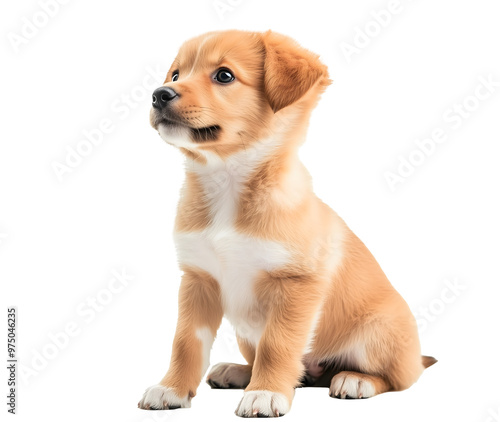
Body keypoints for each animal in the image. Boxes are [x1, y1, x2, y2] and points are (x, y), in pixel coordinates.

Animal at [139, 30, 436, 418]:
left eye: (224, 75)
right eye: (175, 75)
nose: (159, 94)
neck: (227, 181)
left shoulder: (295, 285)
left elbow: (276, 345)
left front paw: (265, 393)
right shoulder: (198, 280)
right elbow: (186, 342)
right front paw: (172, 388)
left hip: (377, 333)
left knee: (399, 377)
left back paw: (356, 380)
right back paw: (237, 371)